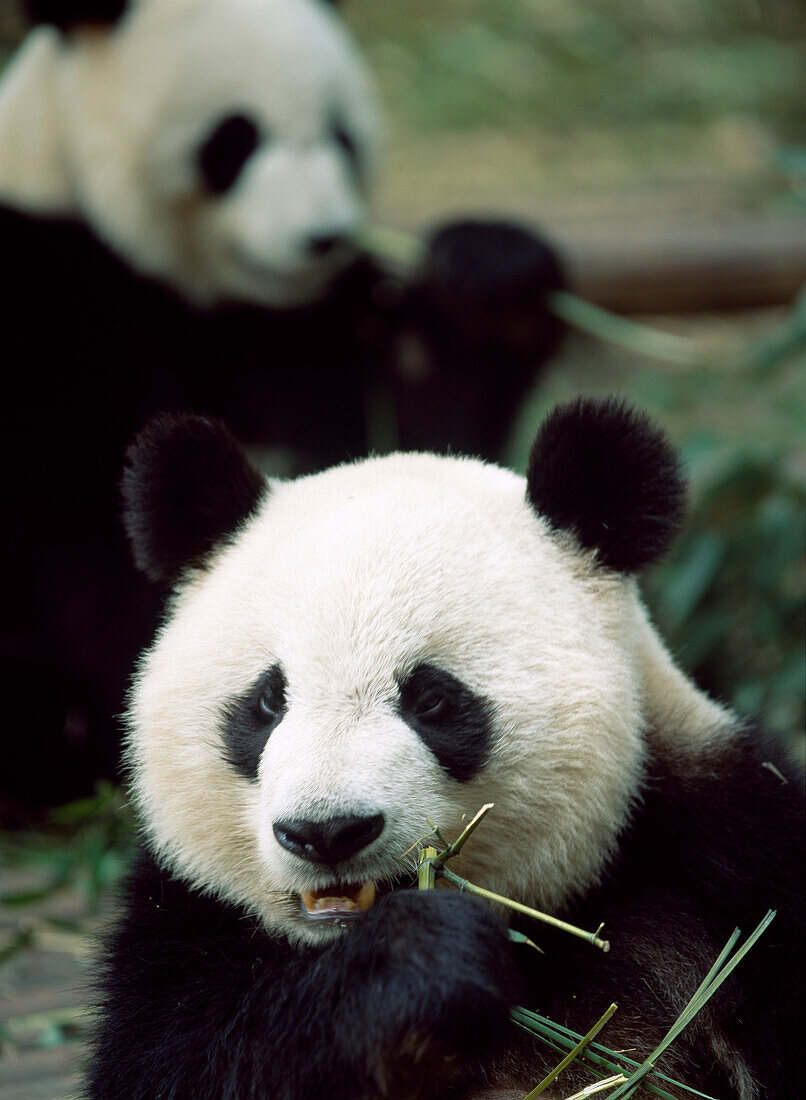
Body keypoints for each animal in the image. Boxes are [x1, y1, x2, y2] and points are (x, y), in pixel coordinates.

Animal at [0, 0, 562, 809]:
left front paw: (494, 280)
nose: (323, 236)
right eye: (233, 141)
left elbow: (403, 446)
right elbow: (82, 530)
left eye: (342, 135)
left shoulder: (301, 328)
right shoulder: (46, 294)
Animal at [84, 402, 800, 1100]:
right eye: (267, 701)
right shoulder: (182, 930)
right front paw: (420, 964)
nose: (326, 832)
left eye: (429, 698)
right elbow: (190, 1061)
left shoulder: (725, 847)